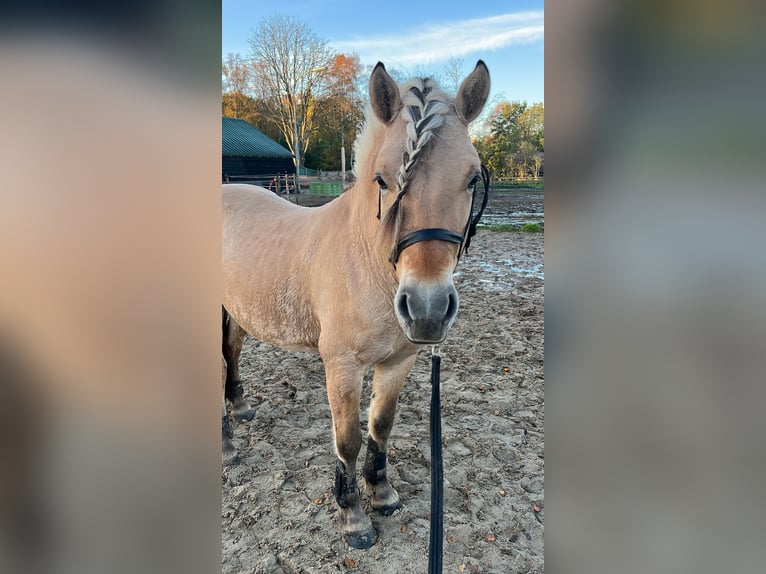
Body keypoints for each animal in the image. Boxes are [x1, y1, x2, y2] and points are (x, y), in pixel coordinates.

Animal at [222, 61, 490, 549]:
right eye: (382, 180)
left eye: (471, 178)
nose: (426, 308)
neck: (366, 263)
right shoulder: (342, 366)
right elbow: (347, 439)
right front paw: (354, 518)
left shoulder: (399, 360)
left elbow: (379, 426)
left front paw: (382, 494)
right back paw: (228, 447)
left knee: (231, 352)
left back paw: (241, 407)